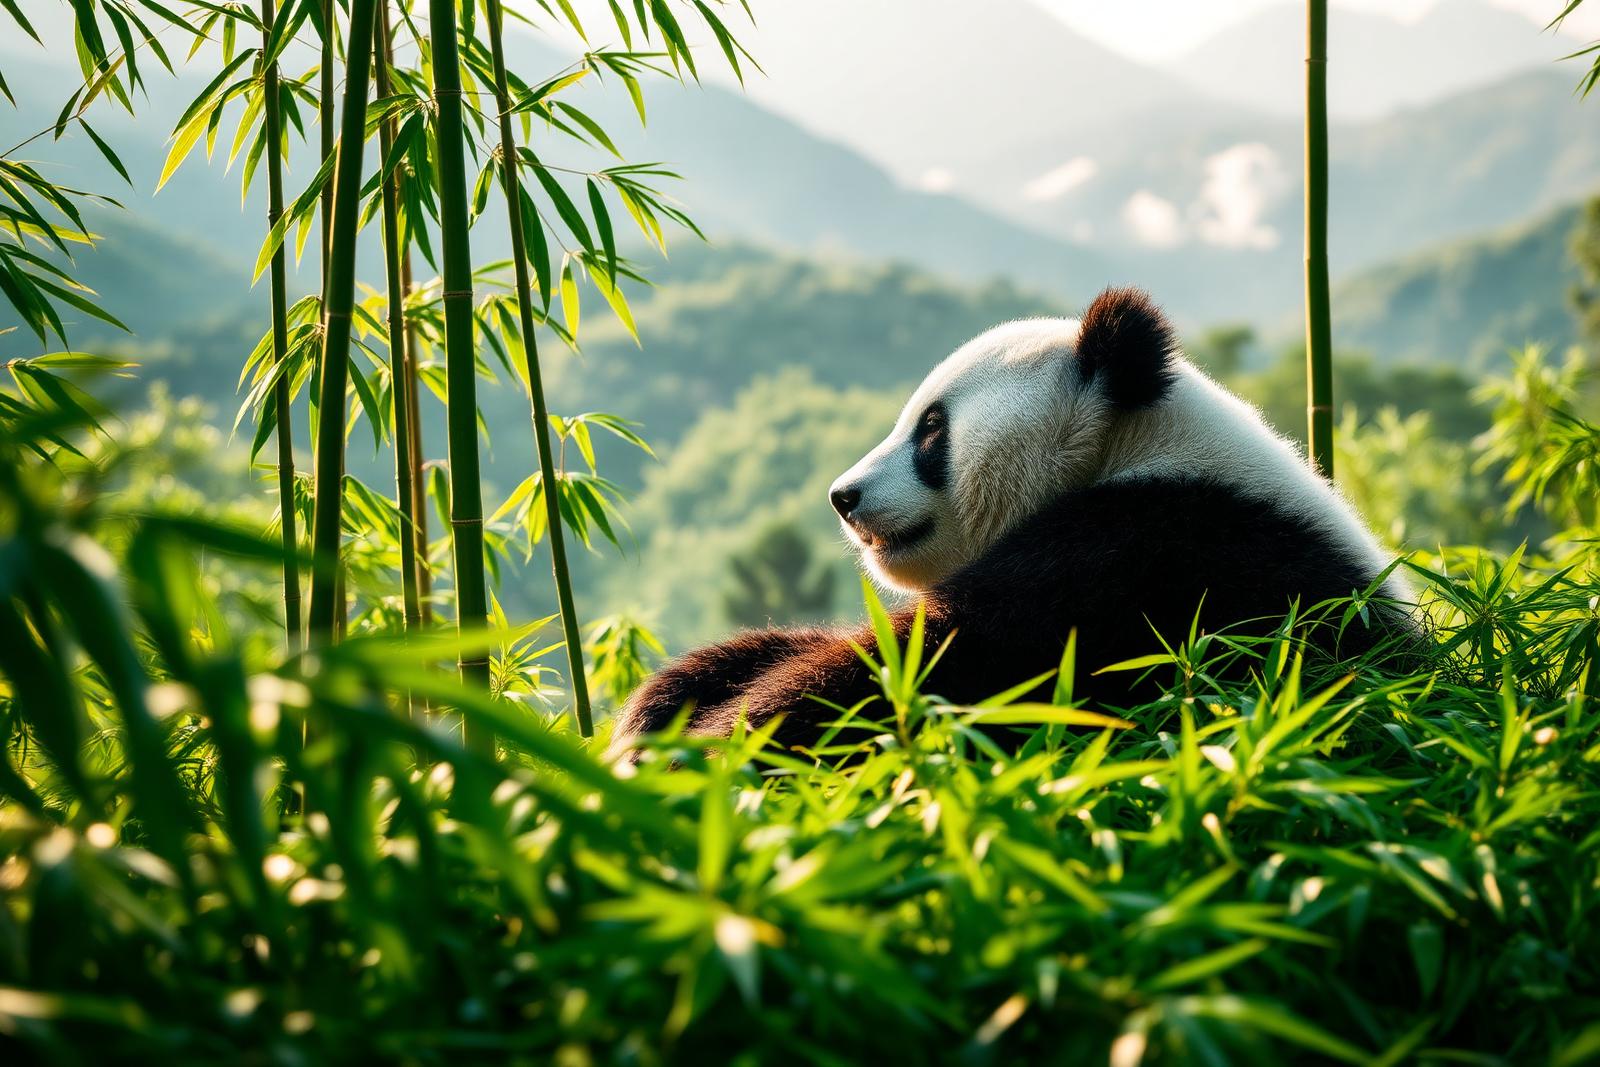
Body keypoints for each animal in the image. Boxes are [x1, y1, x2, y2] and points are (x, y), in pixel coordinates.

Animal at [608, 287, 1417, 758]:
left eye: (932, 429)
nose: (844, 496)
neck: (1131, 446)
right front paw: (666, 699)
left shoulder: (1150, 554)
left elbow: (925, 672)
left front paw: (700, 749)